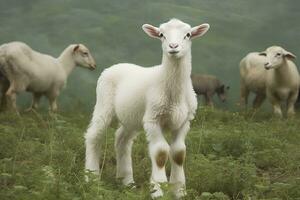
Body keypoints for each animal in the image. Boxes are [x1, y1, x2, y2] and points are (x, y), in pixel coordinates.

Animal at [84, 18, 210, 198]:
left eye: (188, 35)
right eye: (161, 35)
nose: (173, 46)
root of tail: (115, 65)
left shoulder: (184, 121)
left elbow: (179, 153)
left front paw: (179, 191)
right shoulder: (153, 119)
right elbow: (160, 153)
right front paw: (158, 190)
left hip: (132, 117)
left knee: (122, 140)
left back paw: (126, 182)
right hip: (103, 104)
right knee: (94, 137)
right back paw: (92, 178)